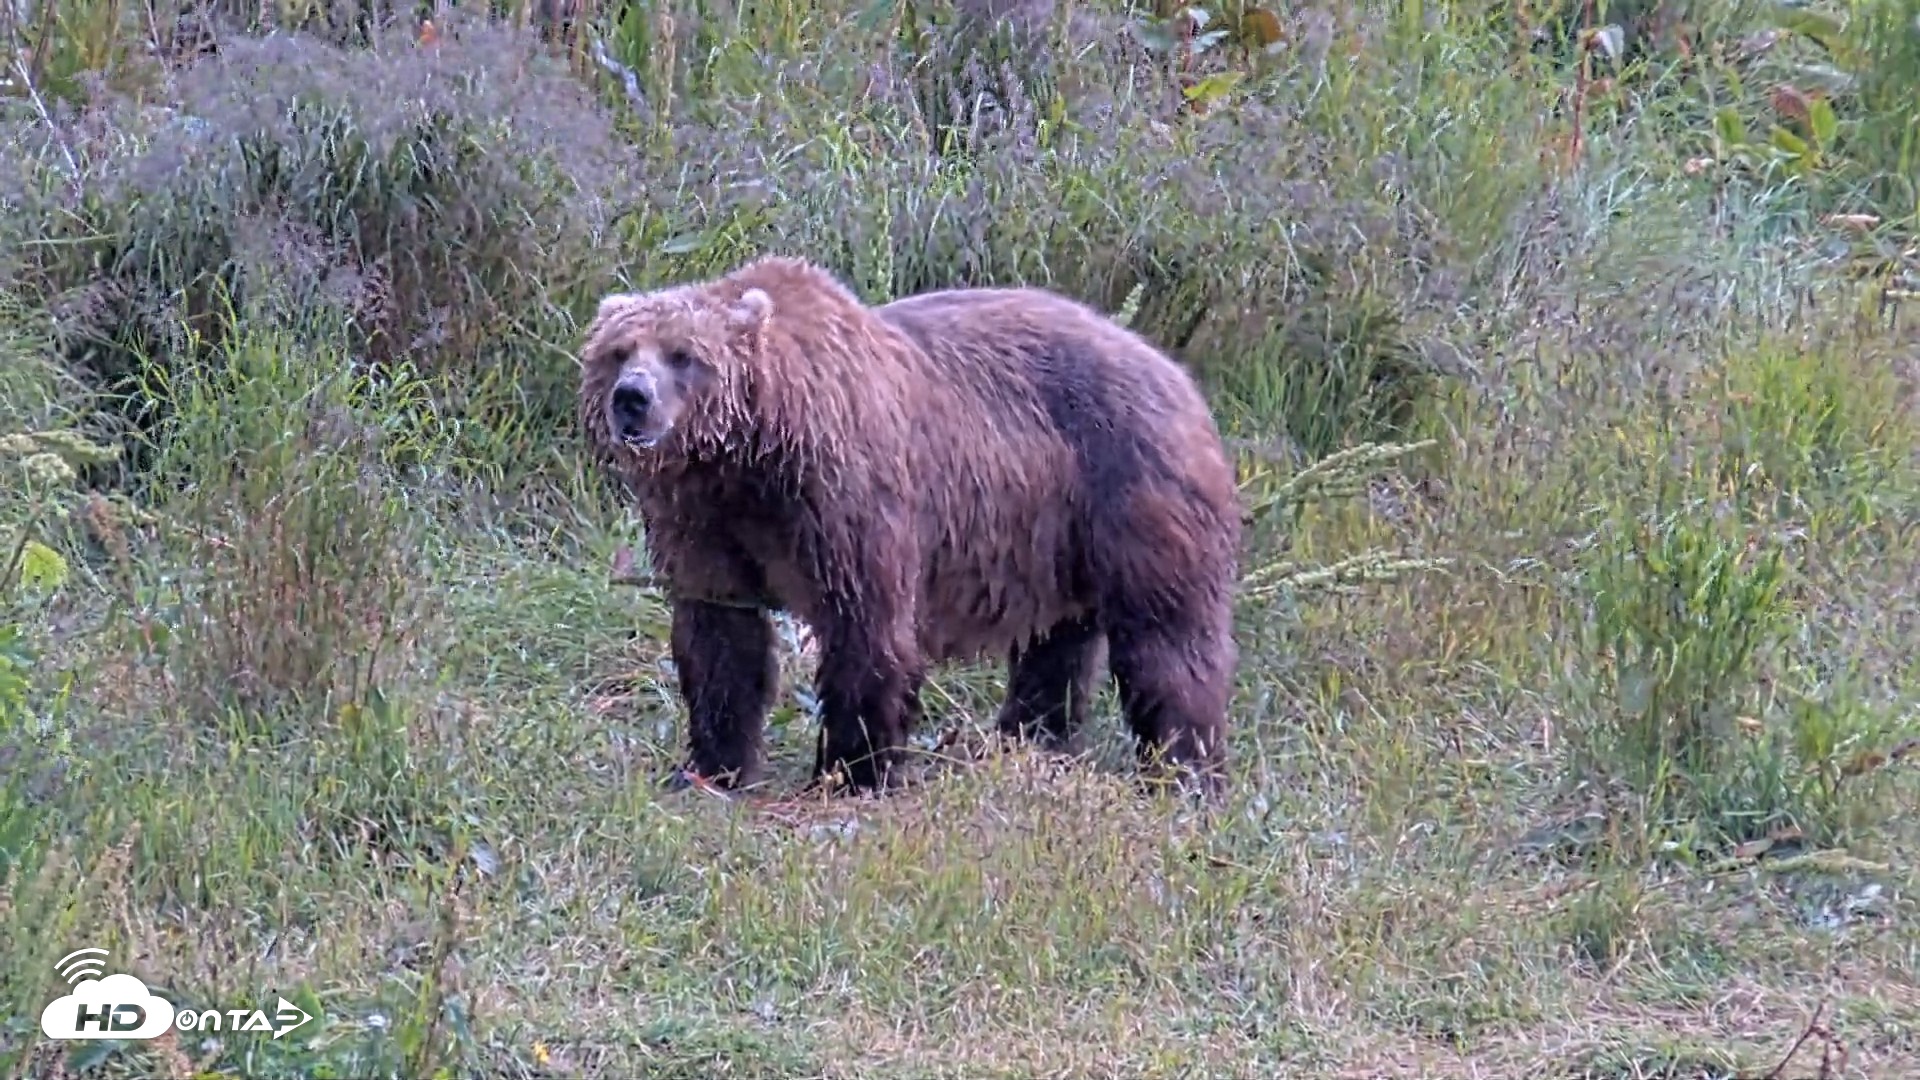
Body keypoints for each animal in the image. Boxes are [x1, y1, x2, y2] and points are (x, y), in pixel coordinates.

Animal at [577, 255, 1243, 797]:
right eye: (619, 351)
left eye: (683, 355)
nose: (632, 397)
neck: (749, 452)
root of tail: (1180, 376)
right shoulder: (705, 523)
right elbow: (721, 637)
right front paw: (711, 767)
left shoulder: (845, 499)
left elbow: (867, 627)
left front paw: (855, 771)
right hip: (1052, 537)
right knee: (1056, 646)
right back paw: (1030, 741)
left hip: (1130, 490)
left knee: (1167, 642)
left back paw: (1183, 771)